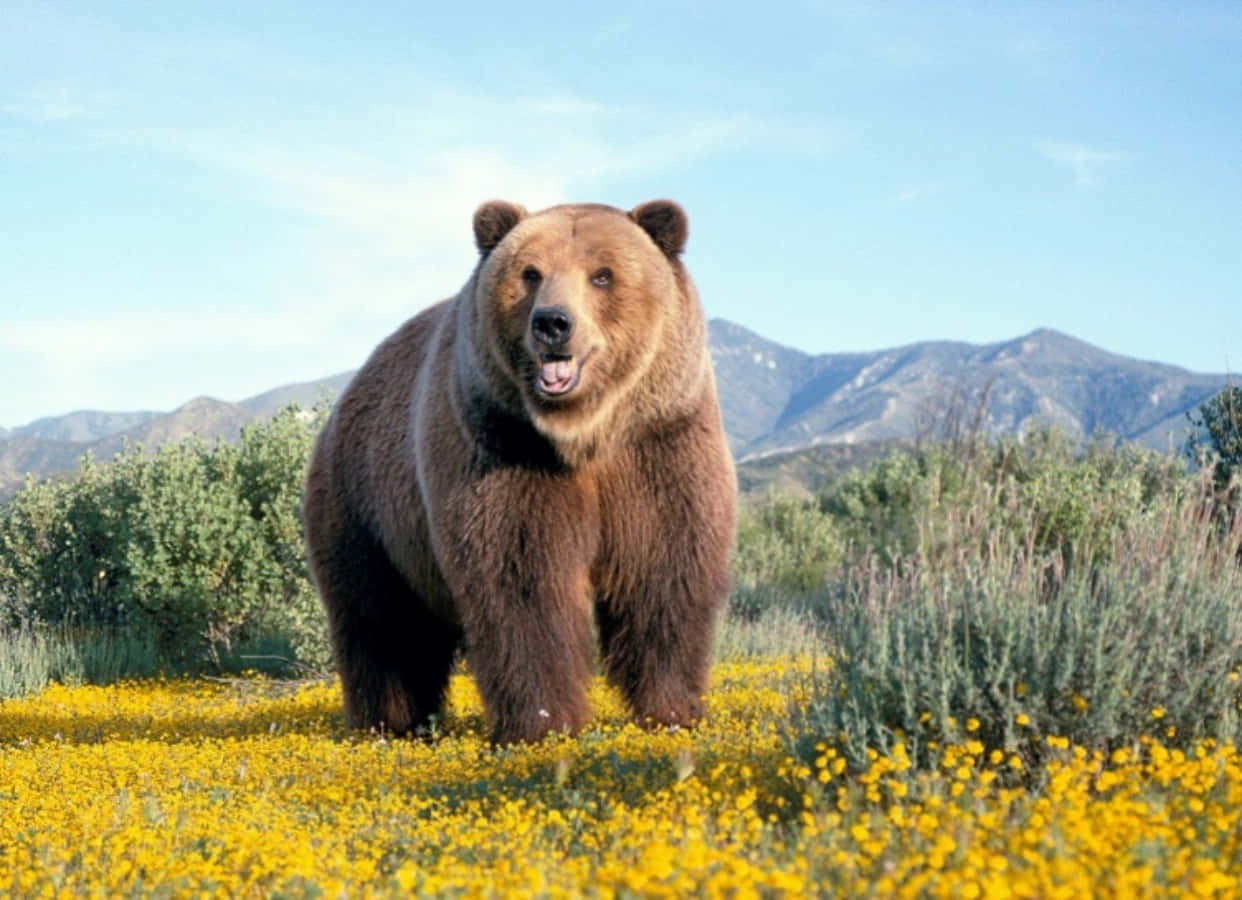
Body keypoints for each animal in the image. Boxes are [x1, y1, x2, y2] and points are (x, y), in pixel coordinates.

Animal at [302, 199, 737, 744]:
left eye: (602, 275)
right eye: (531, 273)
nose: (553, 322)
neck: (584, 433)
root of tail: (346, 397)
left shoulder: (659, 445)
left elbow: (664, 570)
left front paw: (672, 710)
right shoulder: (504, 449)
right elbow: (523, 582)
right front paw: (543, 722)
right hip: (367, 508)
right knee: (382, 621)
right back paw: (389, 722)